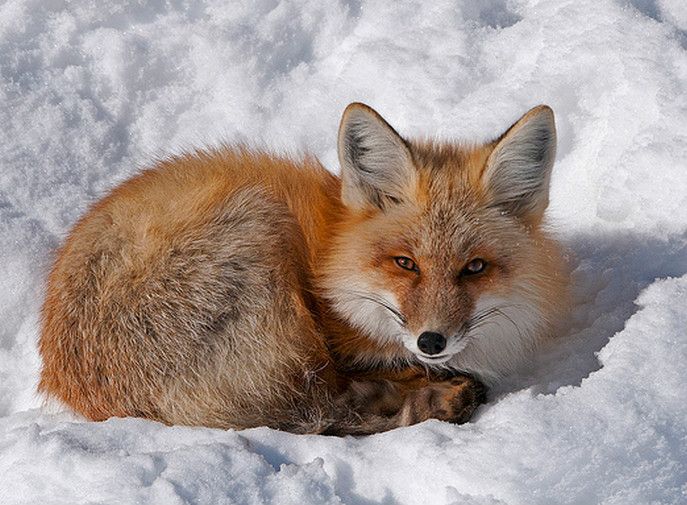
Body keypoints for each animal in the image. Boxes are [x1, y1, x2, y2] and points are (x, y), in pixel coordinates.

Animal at [37, 101, 568, 434]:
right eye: (406, 263)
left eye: (474, 267)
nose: (431, 341)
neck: (330, 259)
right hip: (259, 221)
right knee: (323, 403)